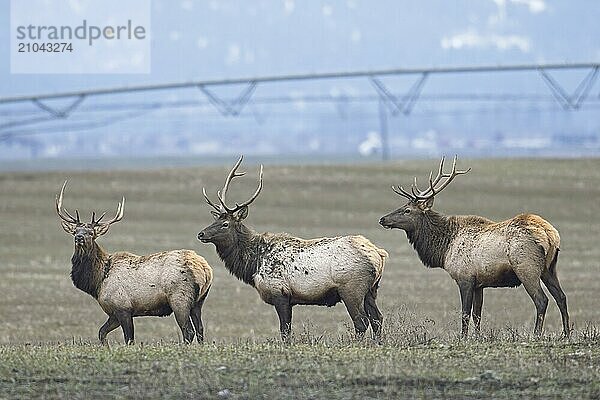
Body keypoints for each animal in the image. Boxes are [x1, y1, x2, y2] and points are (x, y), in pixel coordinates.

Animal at [54, 183, 213, 346]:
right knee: (200, 329)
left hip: (180, 299)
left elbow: (129, 339)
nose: (79, 237)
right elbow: (101, 333)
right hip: (198, 301)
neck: (98, 281)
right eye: (75, 231)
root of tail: (205, 270)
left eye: (91, 233)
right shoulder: (113, 313)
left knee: (188, 331)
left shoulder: (123, 308)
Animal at [197, 155, 390, 342]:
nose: (201, 234)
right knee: (377, 319)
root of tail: (378, 254)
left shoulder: (280, 294)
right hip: (371, 290)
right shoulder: (289, 299)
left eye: (225, 224)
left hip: (351, 289)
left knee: (362, 321)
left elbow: (285, 332)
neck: (254, 264)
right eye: (215, 220)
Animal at [378, 156, 568, 338]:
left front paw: (463, 337)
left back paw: (537, 334)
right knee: (561, 297)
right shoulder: (479, 284)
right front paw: (477, 337)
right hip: (549, 268)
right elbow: (477, 315)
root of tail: (550, 235)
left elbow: (465, 314)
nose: (382, 219)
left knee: (541, 300)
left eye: (407, 210)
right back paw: (566, 334)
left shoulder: (465, 278)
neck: (444, 249)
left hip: (527, 268)